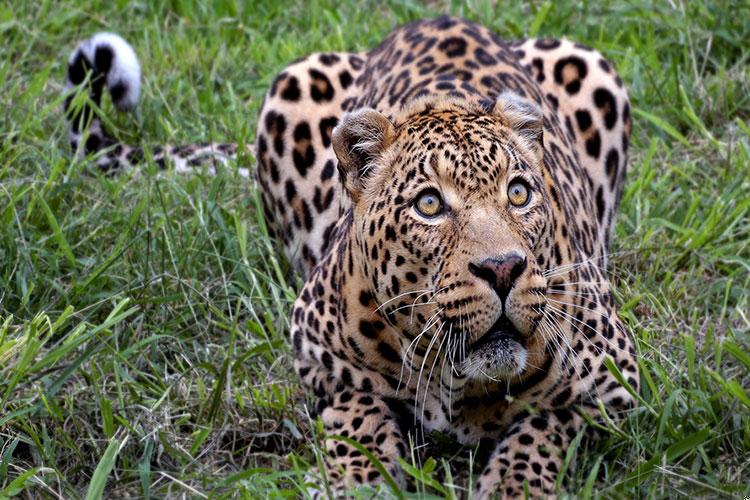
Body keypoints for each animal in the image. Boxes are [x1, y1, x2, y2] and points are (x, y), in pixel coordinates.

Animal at [66, 14, 640, 496]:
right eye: (429, 204)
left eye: (518, 194)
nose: (503, 269)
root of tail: (438, 15)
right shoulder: (317, 355)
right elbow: (359, 409)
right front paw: (358, 479)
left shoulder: (614, 383)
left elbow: (544, 427)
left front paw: (511, 485)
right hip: (293, 83)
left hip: (590, 65)